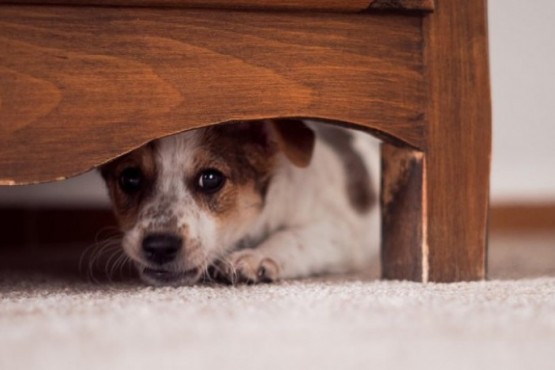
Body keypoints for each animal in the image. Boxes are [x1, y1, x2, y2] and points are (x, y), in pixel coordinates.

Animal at [100, 120, 380, 284]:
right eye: (130, 178)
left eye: (211, 179)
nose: (159, 246)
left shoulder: (337, 232)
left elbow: (292, 236)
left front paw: (257, 257)